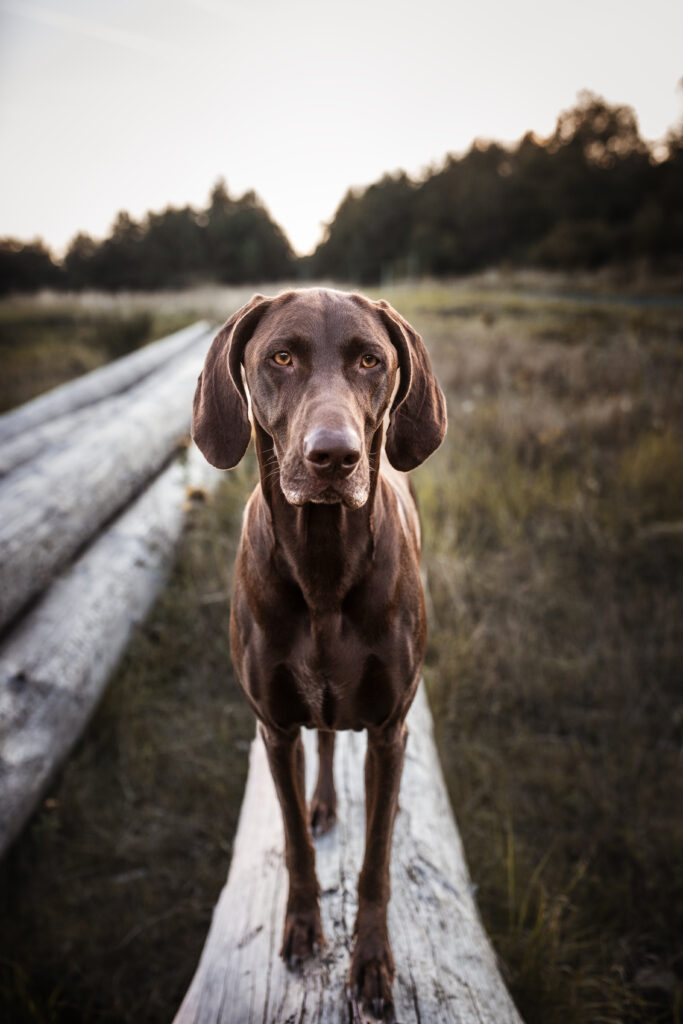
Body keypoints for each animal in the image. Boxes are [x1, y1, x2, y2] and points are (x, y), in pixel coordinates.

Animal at [192, 286, 448, 1015]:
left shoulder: (390, 730)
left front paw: (372, 961)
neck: (323, 562)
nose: (332, 457)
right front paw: (303, 926)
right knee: (328, 741)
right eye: (280, 357)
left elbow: (376, 861)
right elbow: (297, 844)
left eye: (370, 360)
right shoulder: (275, 730)